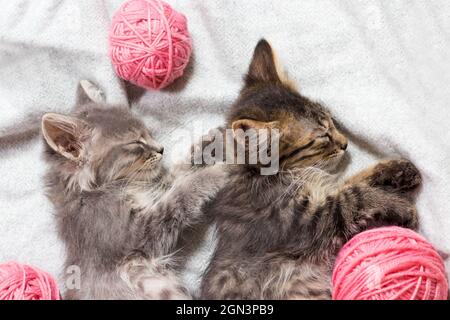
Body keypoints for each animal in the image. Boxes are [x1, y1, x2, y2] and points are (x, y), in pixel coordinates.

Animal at [41, 80, 225, 300]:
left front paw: (213, 140)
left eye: (148, 132)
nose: (161, 149)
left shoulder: (156, 190)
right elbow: (183, 191)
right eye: (136, 142)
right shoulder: (137, 235)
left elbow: (182, 170)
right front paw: (218, 172)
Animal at [200, 40, 422, 300]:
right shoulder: (307, 219)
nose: (346, 143)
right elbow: (356, 195)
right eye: (322, 137)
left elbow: (351, 181)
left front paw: (399, 169)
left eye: (331, 119)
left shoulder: (321, 193)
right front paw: (404, 208)